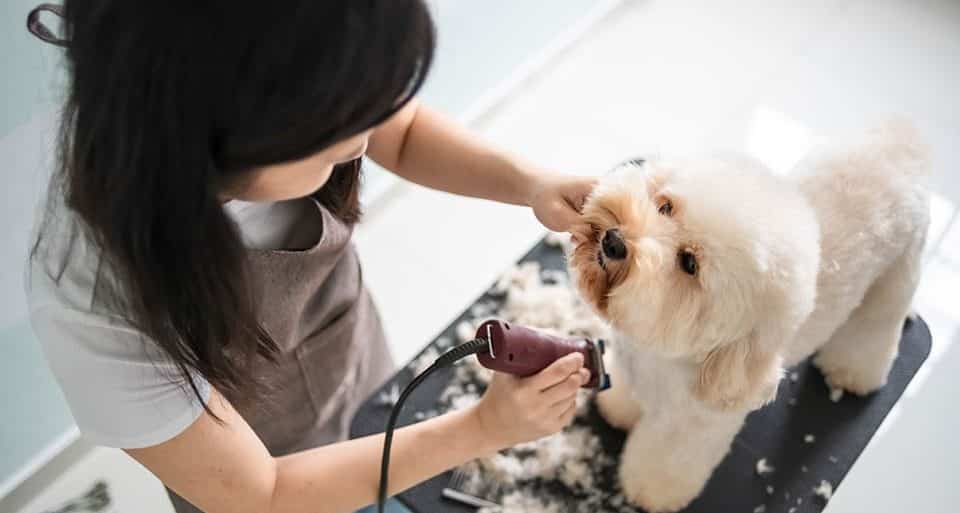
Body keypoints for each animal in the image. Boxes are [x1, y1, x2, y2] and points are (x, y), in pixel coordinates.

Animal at [568, 125, 928, 512]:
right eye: (665, 206)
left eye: (689, 263)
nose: (614, 241)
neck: (661, 356)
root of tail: (903, 141)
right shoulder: (635, 370)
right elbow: (627, 397)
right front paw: (617, 410)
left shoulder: (689, 428)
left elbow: (666, 462)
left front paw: (650, 492)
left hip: (895, 278)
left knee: (873, 330)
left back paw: (852, 373)